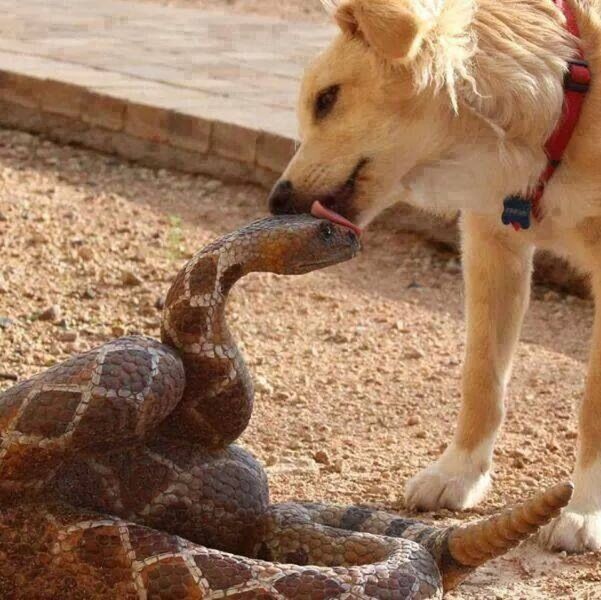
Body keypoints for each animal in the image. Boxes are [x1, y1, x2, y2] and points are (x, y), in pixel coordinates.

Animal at [268, 0, 600, 552]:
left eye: (327, 99)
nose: (275, 201)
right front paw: (458, 474)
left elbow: (593, 402)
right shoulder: (491, 240)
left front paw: (587, 509)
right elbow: (481, 377)